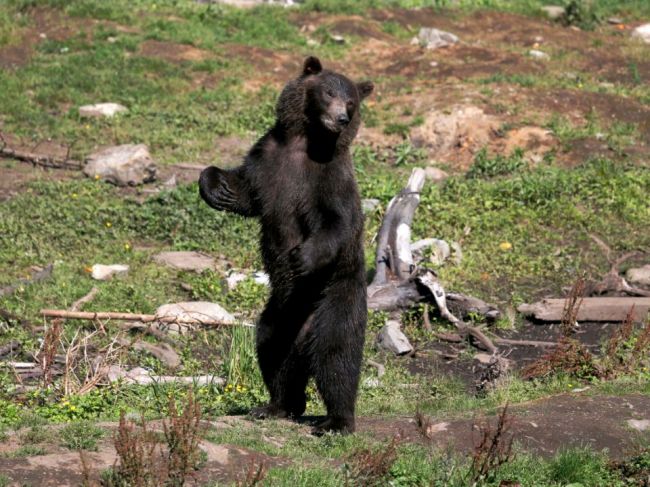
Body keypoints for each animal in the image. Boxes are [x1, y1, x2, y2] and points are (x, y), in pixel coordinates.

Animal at [196, 56, 370, 434]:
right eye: (329, 92)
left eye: (351, 101)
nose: (342, 118)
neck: (306, 140)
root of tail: (304, 331)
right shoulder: (268, 160)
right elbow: (246, 190)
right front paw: (215, 186)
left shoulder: (329, 176)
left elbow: (337, 221)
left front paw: (301, 257)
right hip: (280, 314)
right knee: (271, 349)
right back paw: (276, 404)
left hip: (334, 296)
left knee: (336, 353)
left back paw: (337, 420)